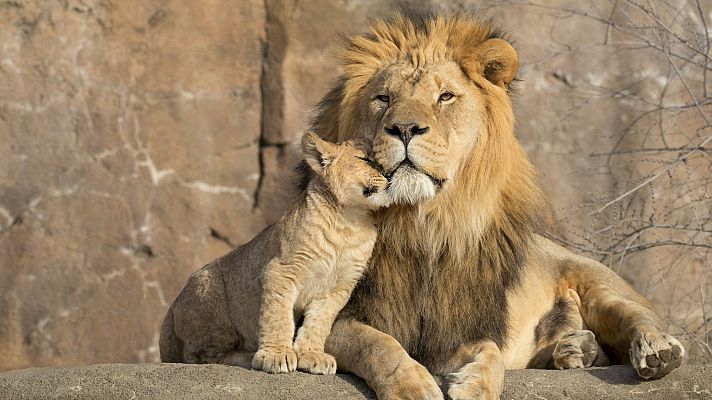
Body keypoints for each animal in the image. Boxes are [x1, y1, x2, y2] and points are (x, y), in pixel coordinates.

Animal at [159, 132, 391, 375]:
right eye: (365, 159)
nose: (389, 175)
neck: (350, 220)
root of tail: (171, 308)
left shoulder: (339, 288)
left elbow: (319, 322)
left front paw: (312, 355)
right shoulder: (281, 269)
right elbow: (278, 316)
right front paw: (276, 355)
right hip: (210, 297)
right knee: (201, 356)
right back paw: (248, 356)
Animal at [302, 12, 685, 400]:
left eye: (445, 97)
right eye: (383, 98)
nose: (405, 128)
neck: (424, 224)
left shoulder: (459, 326)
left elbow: (491, 354)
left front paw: (477, 386)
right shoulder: (339, 314)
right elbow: (378, 345)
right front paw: (411, 385)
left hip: (598, 283)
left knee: (638, 318)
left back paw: (656, 350)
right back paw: (575, 349)